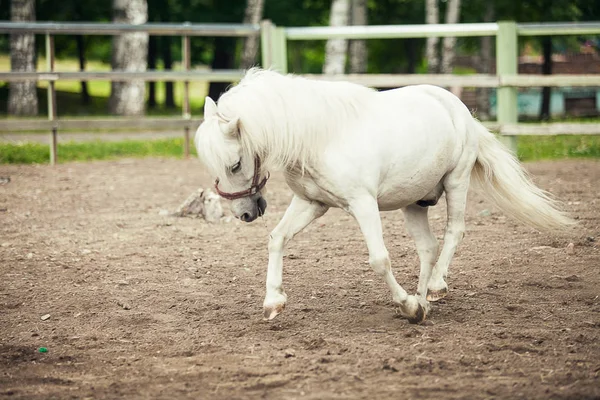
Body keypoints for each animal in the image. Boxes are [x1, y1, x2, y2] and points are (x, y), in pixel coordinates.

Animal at [195, 69, 576, 324]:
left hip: (457, 182)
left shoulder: (363, 204)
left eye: (235, 163)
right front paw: (273, 302)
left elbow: (379, 259)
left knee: (454, 231)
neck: (320, 137)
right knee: (428, 247)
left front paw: (406, 305)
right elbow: (277, 239)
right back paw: (424, 301)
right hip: (415, 202)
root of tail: (457, 107)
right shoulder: (312, 204)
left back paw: (434, 288)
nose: (244, 213)